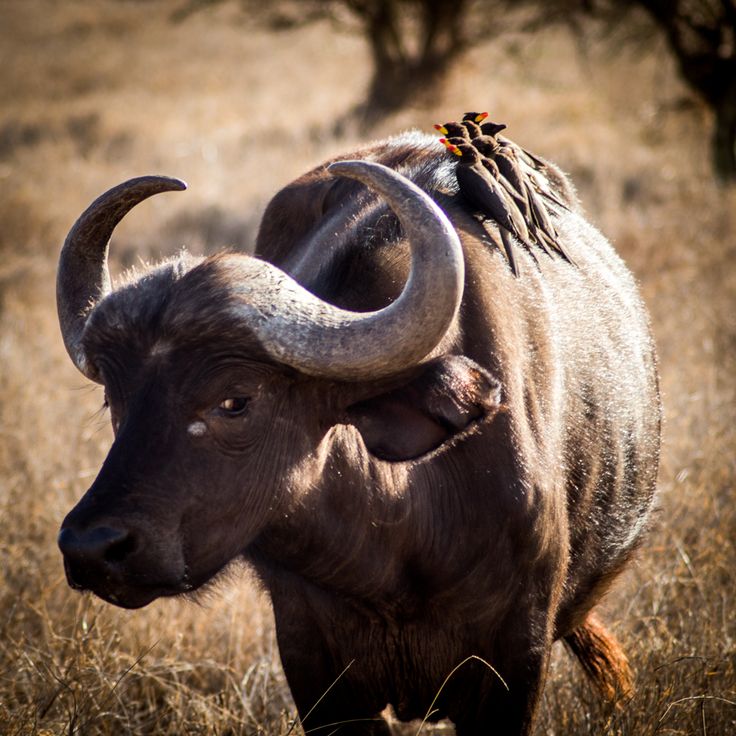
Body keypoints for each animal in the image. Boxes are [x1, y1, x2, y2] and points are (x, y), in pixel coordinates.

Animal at [56, 129, 661, 735]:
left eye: (235, 400)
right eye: (115, 398)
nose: (91, 547)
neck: (398, 545)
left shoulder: (515, 657)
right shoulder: (313, 664)